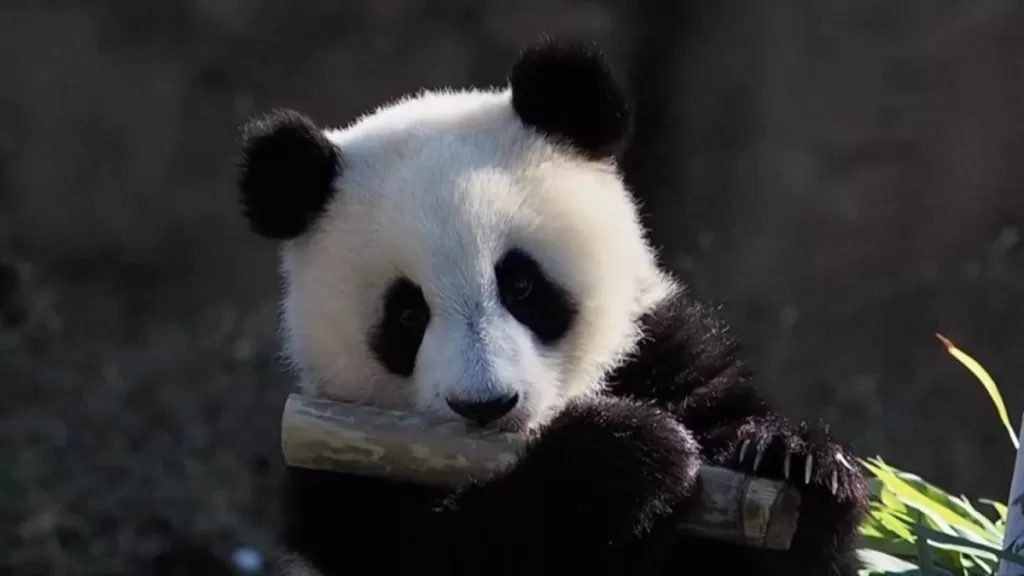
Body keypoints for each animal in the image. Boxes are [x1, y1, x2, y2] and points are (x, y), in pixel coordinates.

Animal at [237, 38, 869, 576]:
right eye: (407, 316)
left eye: (520, 285)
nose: (487, 405)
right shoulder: (337, 472)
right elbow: (454, 549)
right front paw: (622, 454)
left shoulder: (660, 354)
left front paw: (795, 463)